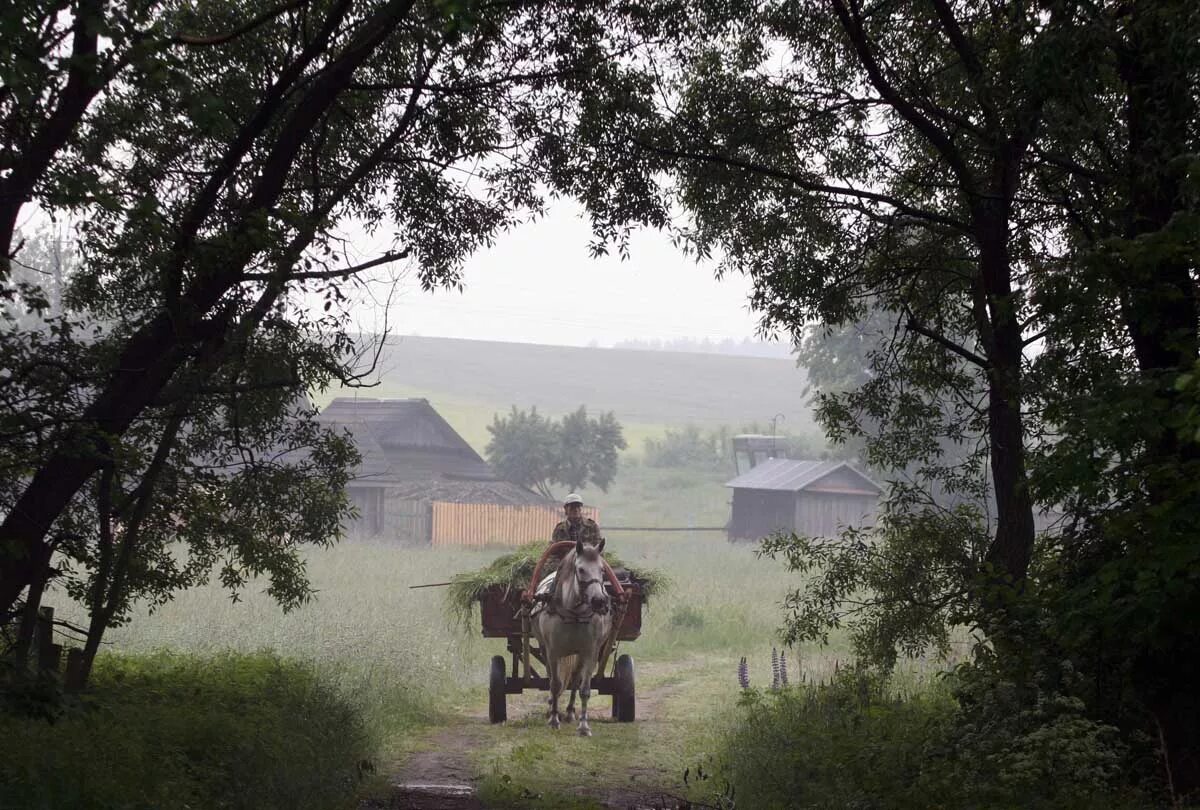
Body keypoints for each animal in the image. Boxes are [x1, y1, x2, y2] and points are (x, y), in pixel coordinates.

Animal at [532, 535, 609, 739]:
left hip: (580, 655)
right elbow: (555, 684)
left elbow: (584, 689)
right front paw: (553, 720)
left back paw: (569, 712)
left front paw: (584, 727)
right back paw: (553, 708)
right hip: (545, 650)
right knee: (554, 680)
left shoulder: (590, 652)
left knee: (574, 680)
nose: (599, 601)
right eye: (581, 569)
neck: (573, 614)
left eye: (602, 570)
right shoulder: (552, 652)